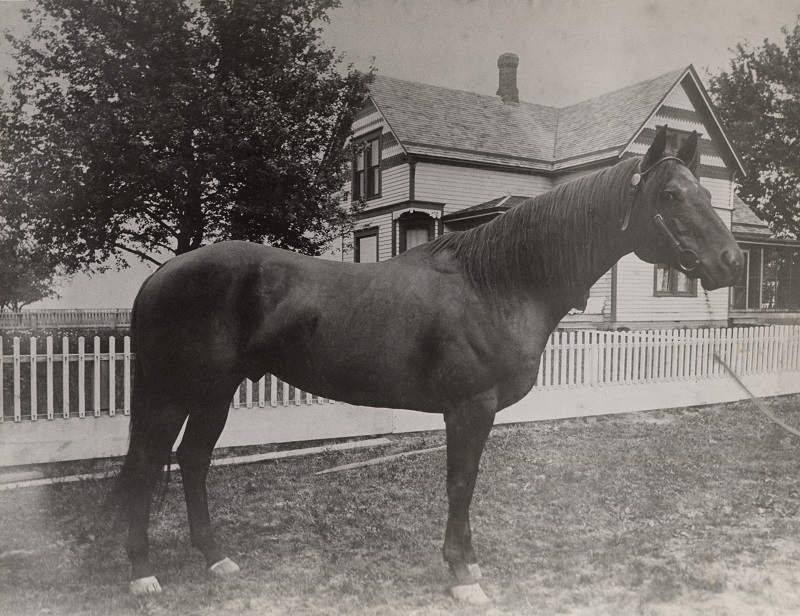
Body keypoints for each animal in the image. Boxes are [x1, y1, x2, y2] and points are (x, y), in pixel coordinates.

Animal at [115, 126, 743, 603]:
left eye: (707, 195)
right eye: (670, 197)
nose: (731, 261)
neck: (496, 283)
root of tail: (161, 276)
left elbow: (465, 485)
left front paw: (468, 563)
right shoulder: (469, 408)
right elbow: (461, 484)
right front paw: (463, 575)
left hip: (215, 394)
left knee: (193, 461)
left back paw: (215, 559)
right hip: (172, 394)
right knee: (147, 466)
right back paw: (142, 575)